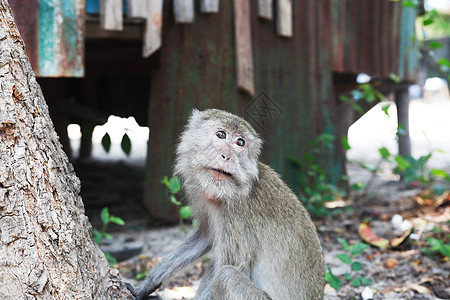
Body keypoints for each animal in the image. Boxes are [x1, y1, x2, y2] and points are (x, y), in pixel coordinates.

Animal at [125, 109, 326, 298]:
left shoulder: (237, 213)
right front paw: (147, 284)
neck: (229, 191)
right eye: (221, 135)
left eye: (240, 143)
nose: (226, 156)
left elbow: (234, 264)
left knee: (226, 276)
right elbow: (206, 236)